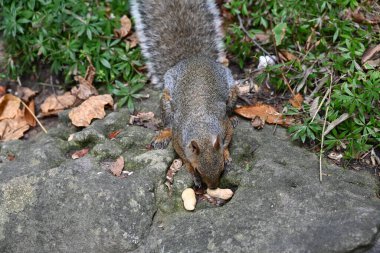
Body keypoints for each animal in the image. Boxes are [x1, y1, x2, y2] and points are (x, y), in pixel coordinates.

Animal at [131, 0, 238, 190]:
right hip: (166, 101)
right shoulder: (179, 138)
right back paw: (163, 135)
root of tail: (194, 58)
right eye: (199, 170)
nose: (213, 188)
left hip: (232, 91)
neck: (202, 129)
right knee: (168, 123)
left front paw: (226, 154)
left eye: (221, 169)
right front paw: (190, 169)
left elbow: (226, 141)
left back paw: (233, 117)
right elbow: (182, 155)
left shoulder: (223, 126)